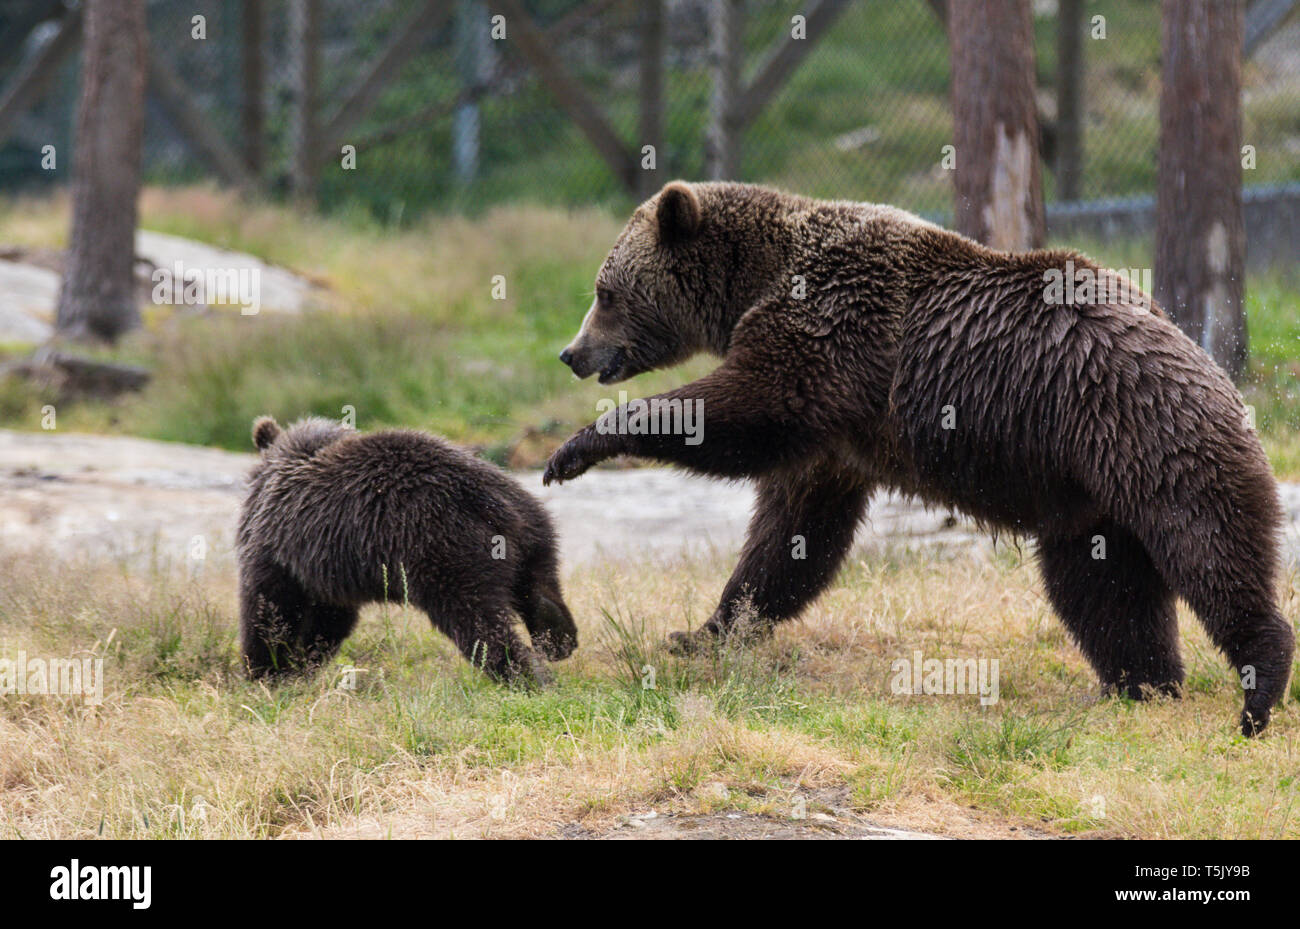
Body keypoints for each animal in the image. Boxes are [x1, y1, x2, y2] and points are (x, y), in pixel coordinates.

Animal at [238, 416, 577, 683]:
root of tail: (491, 501)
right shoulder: (327, 567)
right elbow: (329, 617)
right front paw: (300, 663)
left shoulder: (277, 549)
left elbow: (269, 608)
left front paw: (268, 669)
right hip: (534, 527)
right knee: (539, 583)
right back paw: (556, 637)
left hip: (441, 548)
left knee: (477, 620)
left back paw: (528, 676)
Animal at [545, 180, 1294, 736]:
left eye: (605, 292)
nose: (571, 352)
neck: (753, 279)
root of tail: (1216, 369)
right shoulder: (839, 434)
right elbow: (793, 534)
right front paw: (707, 629)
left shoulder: (828, 337)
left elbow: (746, 412)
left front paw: (578, 447)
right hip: (1088, 498)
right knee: (1105, 590)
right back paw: (1140, 683)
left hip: (1149, 438)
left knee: (1209, 546)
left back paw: (1257, 688)